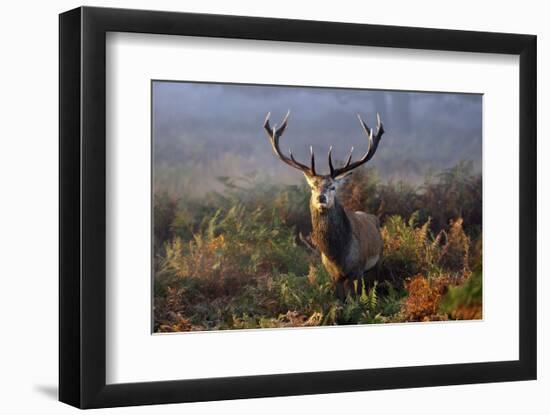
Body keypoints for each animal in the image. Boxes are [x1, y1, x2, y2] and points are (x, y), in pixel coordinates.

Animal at [266, 110, 386, 302]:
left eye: (333, 187)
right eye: (312, 187)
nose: (321, 197)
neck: (338, 257)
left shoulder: (358, 270)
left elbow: (356, 299)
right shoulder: (333, 275)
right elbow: (340, 300)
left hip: (378, 260)